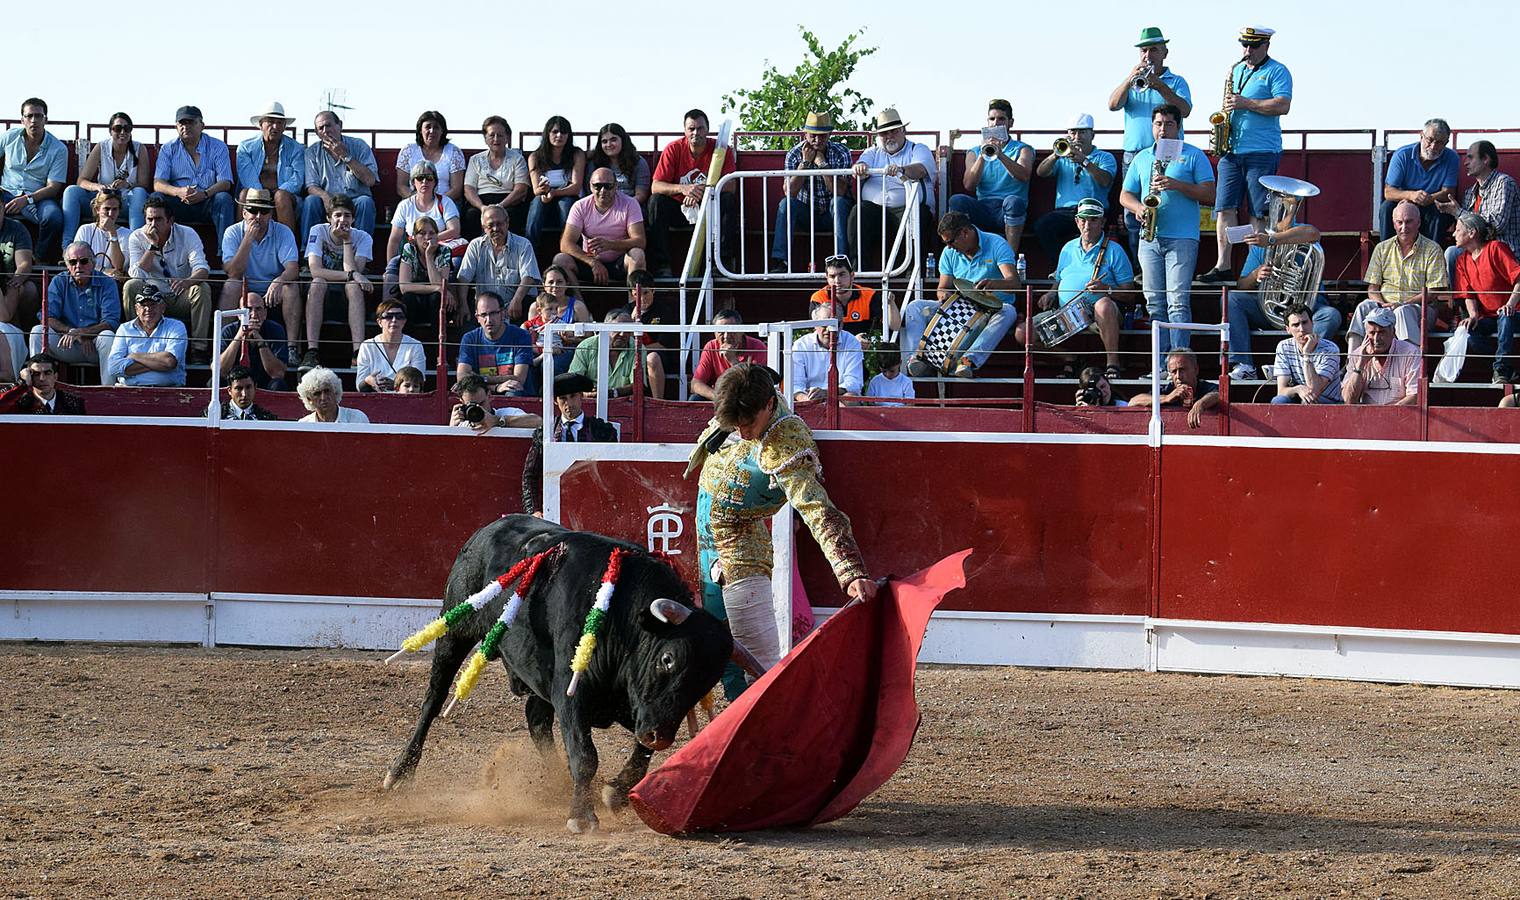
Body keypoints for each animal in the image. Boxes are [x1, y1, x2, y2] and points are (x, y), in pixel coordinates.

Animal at [386, 513, 753, 827]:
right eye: (668, 659)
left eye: (708, 680)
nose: (660, 736)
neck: (621, 617)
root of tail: (488, 529)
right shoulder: (573, 691)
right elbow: (585, 754)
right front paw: (582, 816)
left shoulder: (637, 707)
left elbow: (641, 752)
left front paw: (616, 792)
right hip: (455, 630)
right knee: (433, 699)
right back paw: (400, 773)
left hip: (539, 675)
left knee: (536, 717)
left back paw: (557, 782)